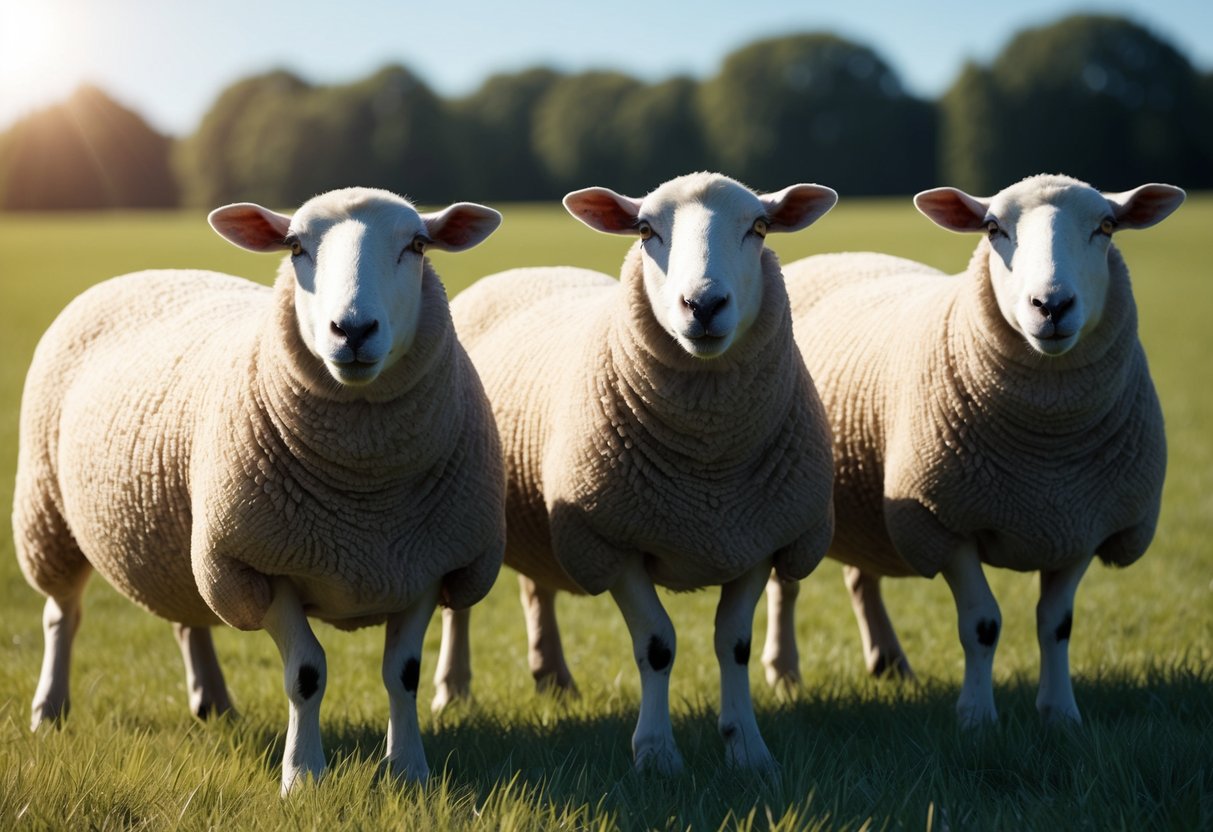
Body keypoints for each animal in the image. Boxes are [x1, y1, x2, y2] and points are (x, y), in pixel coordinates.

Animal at [9, 187, 504, 795]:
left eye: (416, 245)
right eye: (294, 247)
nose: (353, 331)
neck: (364, 498)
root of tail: (142, 272)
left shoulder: (428, 564)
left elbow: (402, 675)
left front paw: (409, 772)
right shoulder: (258, 565)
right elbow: (306, 673)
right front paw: (304, 777)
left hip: (183, 542)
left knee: (188, 616)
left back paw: (213, 703)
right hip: (48, 512)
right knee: (61, 616)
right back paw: (48, 709)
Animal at [431, 171, 839, 776]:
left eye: (760, 227)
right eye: (646, 230)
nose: (703, 304)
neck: (708, 463)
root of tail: (528, 270)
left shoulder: (757, 538)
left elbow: (733, 645)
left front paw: (747, 748)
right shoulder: (611, 539)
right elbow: (657, 645)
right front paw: (656, 753)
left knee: (535, 588)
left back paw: (554, 678)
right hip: (465, 503)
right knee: (459, 607)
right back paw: (452, 689)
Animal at [756, 172, 1183, 727]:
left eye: (1107, 226)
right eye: (993, 228)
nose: (1051, 306)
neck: (1046, 445)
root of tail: (836, 255)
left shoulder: (1083, 525)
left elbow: (1056, 625)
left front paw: (1060, 713)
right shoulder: (942, 520)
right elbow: (982, 624)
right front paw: (977, 716)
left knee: (860, 577)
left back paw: (889, 662)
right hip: (791, 489)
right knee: (785, 585)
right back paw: (784, 670)